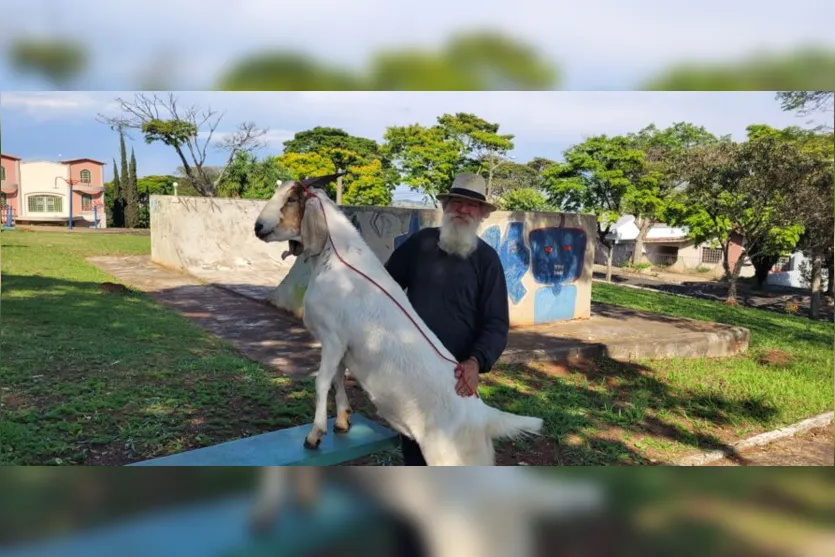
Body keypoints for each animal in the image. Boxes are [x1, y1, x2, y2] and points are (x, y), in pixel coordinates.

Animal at [253, 176, 544, 462]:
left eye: (292, 198)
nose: (258, 227)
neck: (335, 258)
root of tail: (484, 418)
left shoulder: (333, 338)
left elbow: (322, 382)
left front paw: (315, 435)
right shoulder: (339, 344)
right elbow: (337, 377)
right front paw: (343, 421)